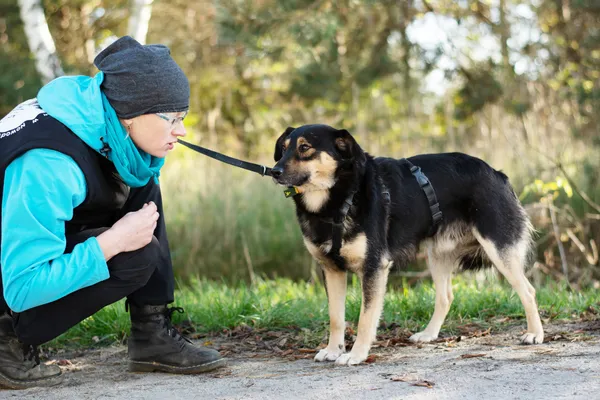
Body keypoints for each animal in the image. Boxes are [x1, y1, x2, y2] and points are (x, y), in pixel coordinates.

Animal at [272, 124, 544, 366]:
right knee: (446, 296)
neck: (340, 198)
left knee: (528, 290)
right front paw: (333, 350)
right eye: (283, 148)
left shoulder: (374, 267)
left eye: (304, 147)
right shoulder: (332, 269)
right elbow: (336, 317)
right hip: (438, 254)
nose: (274, 171)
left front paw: (356, 354)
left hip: (498, 248)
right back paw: (429, 334)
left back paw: (535, 334)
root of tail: (498, 173)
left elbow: (365, 318)